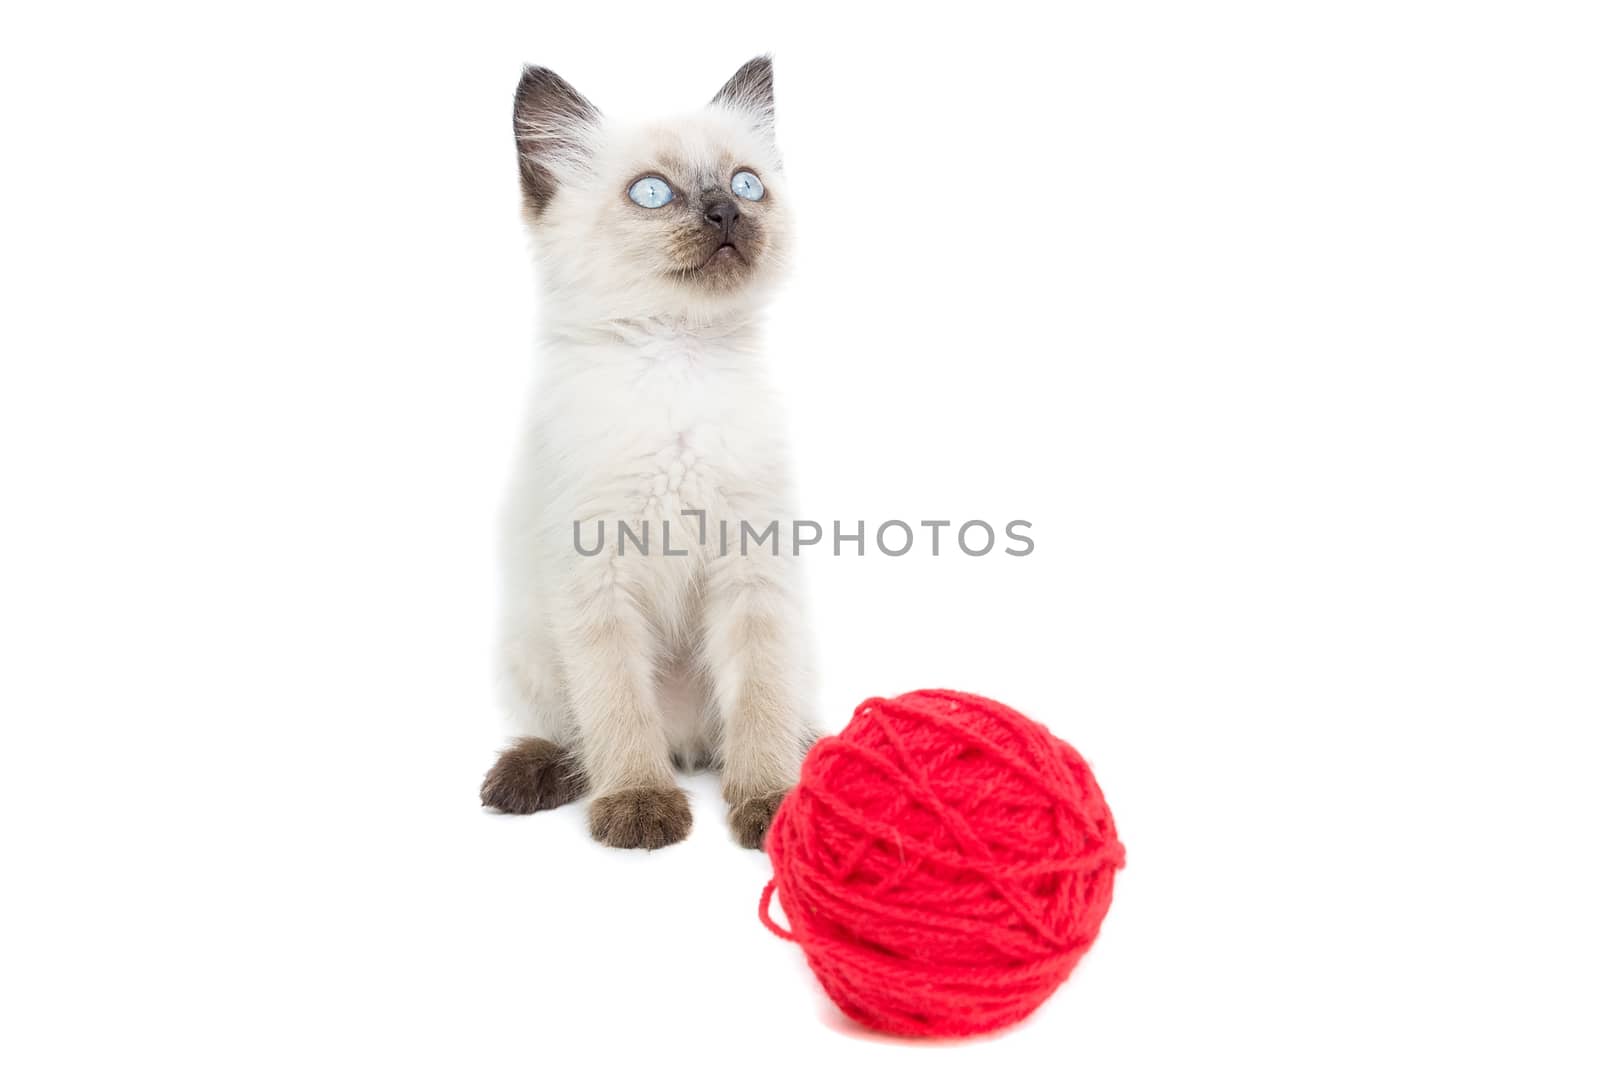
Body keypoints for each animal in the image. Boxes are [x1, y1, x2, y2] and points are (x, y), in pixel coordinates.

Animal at [476, 56, 819, 851]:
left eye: (747, 184)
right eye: (653, 193)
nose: (725, 213)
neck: (678, 361)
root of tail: (688, 745)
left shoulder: (753, 573)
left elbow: (760, 702)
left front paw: (769, 801)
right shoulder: (596, 580)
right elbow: (618, 708)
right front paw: (638, 805)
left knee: (772, 720)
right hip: (530, 645)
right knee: (576, 733)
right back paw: (533, 778)